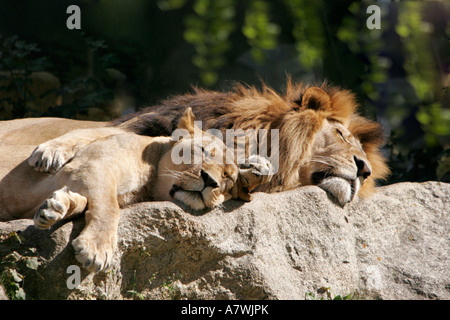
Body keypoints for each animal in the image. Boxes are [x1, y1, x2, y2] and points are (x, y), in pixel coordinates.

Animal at [0, 79, 388, 206]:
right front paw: (50, 151)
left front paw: (252, 171)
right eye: (340, 135)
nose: (365, 170)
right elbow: (93, 133)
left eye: (361, 150)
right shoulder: (142, 125)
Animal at [0, 109, 270, 272]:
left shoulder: (85, 172)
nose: (210, 181)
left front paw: (56, 208)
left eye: (227, 178)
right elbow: (109, 208)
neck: (148, 183)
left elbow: (88, 203)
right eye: (202, 151)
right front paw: (97, 249)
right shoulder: (93, 165)